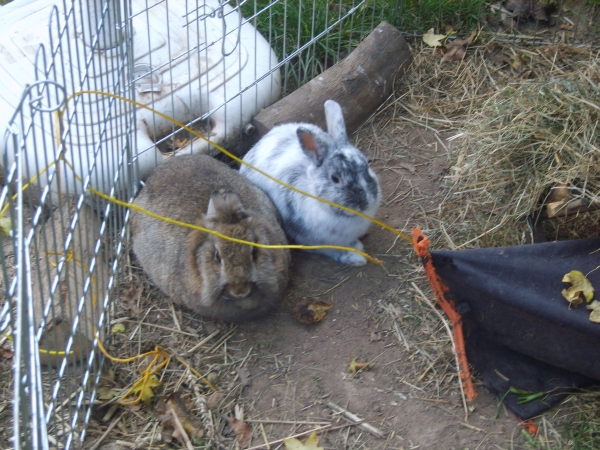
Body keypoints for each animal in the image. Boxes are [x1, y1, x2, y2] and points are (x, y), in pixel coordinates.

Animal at [240, 100, 381, 266]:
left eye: (366, 164)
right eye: (335, 178)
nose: (366, 203)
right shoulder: (312, 240)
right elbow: (333, 250)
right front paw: (356, 257)